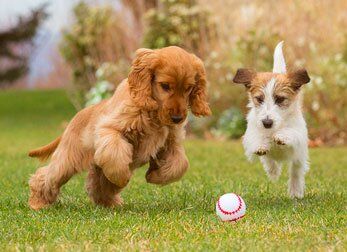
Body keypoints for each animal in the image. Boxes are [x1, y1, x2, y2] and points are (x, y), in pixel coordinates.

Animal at [27, 46, 212, 210]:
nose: (177, 119)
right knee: (46, 176)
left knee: (97, 184)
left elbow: (181, 164)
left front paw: (154, 176)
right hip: (68, 158)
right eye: (165, 86)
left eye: (188, 88)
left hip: (95, 167)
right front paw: (124, 177)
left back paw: (110, 204)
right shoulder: (110, 130)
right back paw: (37, 203)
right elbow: (115, 155)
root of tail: (77, 116)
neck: (153, 114)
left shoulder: (171, 142)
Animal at [235, 41, 312, 199]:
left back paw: (295, 191)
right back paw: (273, 171)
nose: (267, 123)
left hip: (299, 157)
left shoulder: (299, 134)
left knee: (296, 171)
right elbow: (256, 138)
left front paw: (281, 136)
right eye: (259, 99)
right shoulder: (251, 131)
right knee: (269, 160)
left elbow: (291, 132)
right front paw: (261, 144)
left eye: (280, 99)